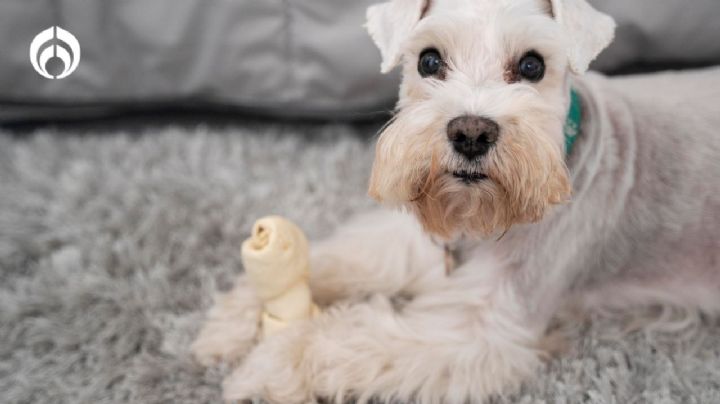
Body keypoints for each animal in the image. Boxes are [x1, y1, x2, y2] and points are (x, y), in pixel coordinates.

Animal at [193, 0, 720, 400]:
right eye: (428, 60)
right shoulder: (412, 245)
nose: (470, 132)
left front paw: (266, 367)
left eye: (532, 65)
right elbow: (338, 260)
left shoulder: (476, 331)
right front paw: (231, 320)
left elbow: (339, 340)